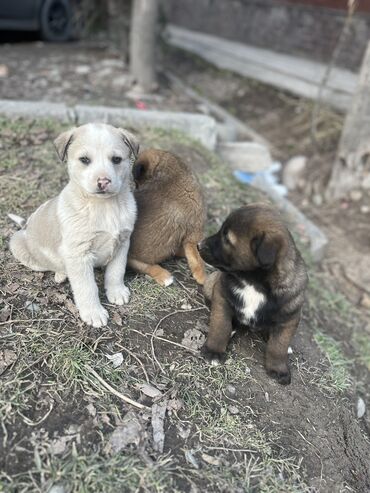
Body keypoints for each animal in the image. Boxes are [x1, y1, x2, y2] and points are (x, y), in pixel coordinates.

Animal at [9, 122, 139, 326]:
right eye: (85, 159)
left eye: (117, 159)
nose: (103, 181)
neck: (104, 206)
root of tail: (25, 226)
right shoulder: (78, 254)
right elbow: (87, 287)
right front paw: (93, 312)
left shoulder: (123, 243)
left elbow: (116, 271)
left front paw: (116, 292)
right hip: (18, 244)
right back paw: (61, 274)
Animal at [198, 204, 308, 384]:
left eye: (227, 239)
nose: (199, 245)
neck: (253, 283)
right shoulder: (222, 297)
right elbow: (221, 326)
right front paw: (214, 351)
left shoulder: (289, 318)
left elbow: (279, 346)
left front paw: (278, 369)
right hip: (211, 283)